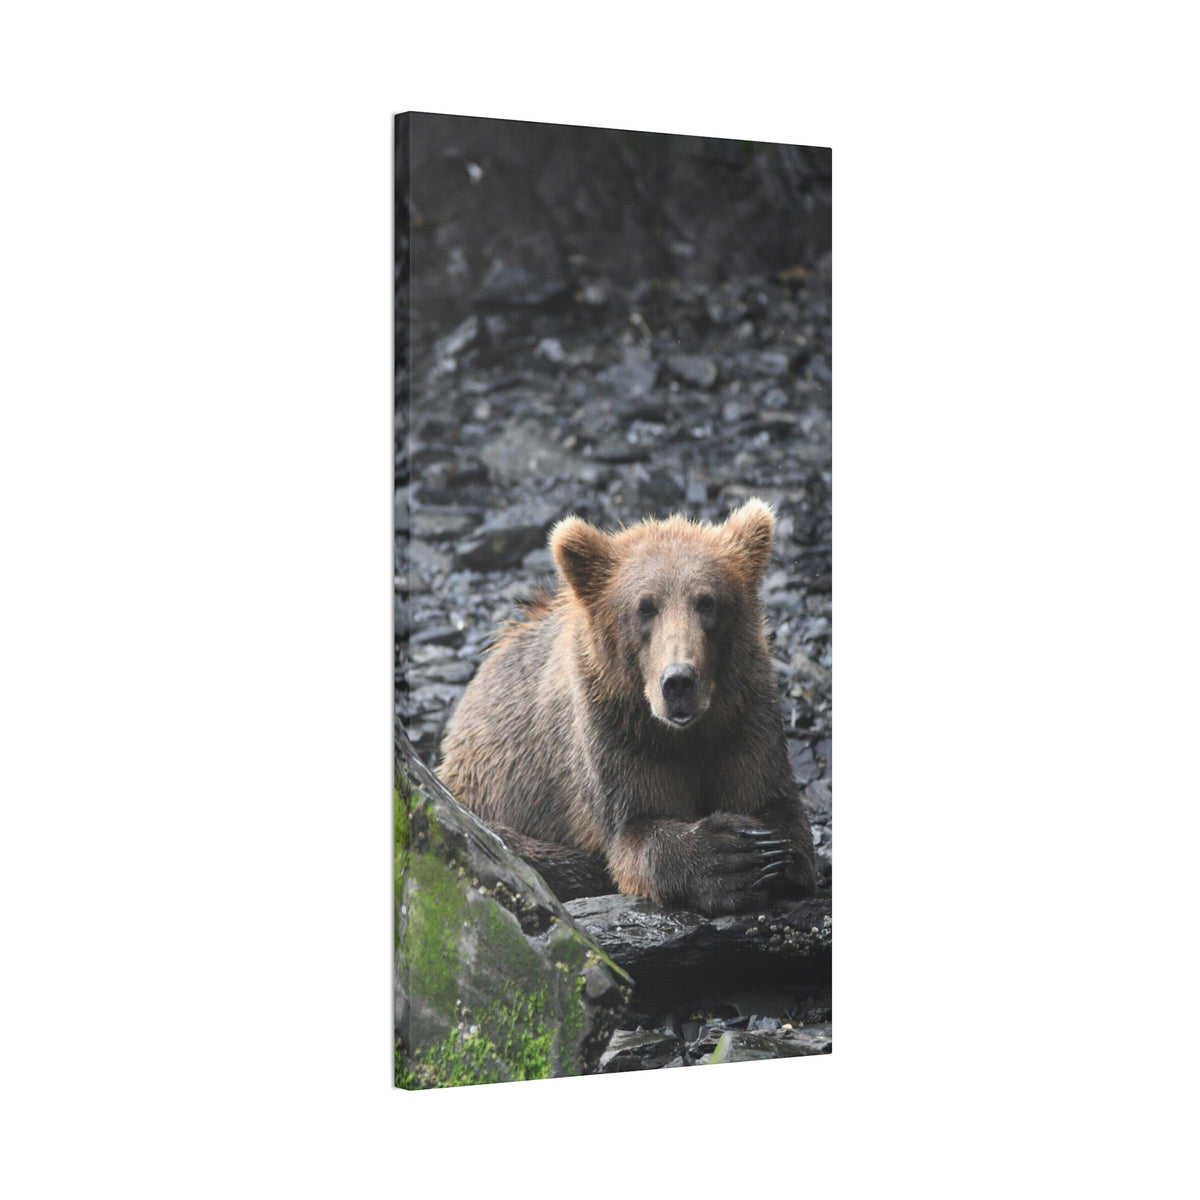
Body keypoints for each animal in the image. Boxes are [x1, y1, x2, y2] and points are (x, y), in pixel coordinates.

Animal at [437, 498, 817, 916]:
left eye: (707, 601)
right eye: (645, 607)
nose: (679, 681)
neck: (685, 732)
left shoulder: (744, 715)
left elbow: (774, 804)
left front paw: (770, 852)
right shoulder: (614, 731)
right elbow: (636, 829)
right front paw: (732, 857)